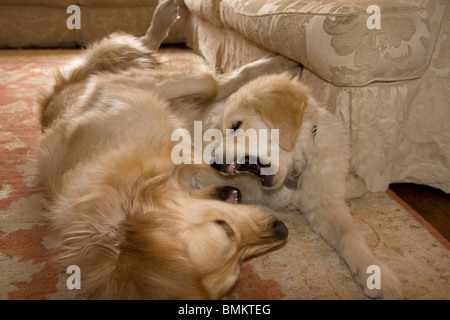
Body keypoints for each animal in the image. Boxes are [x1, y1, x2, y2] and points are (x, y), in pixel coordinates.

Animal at [37, 0, 288, 300]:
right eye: (225, 230)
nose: (281, 229)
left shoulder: (117, 86)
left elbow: (210, 81)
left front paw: (275, 64)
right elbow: (213, 83)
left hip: (107, 63)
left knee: (138, 46)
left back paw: (165, 16)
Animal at [194, 73, 404, 300]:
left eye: (236, 125)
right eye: (221, 132)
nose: (213, 163)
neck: (293, 169)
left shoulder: (325, 202)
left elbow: (350, 235)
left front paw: (375, 274)